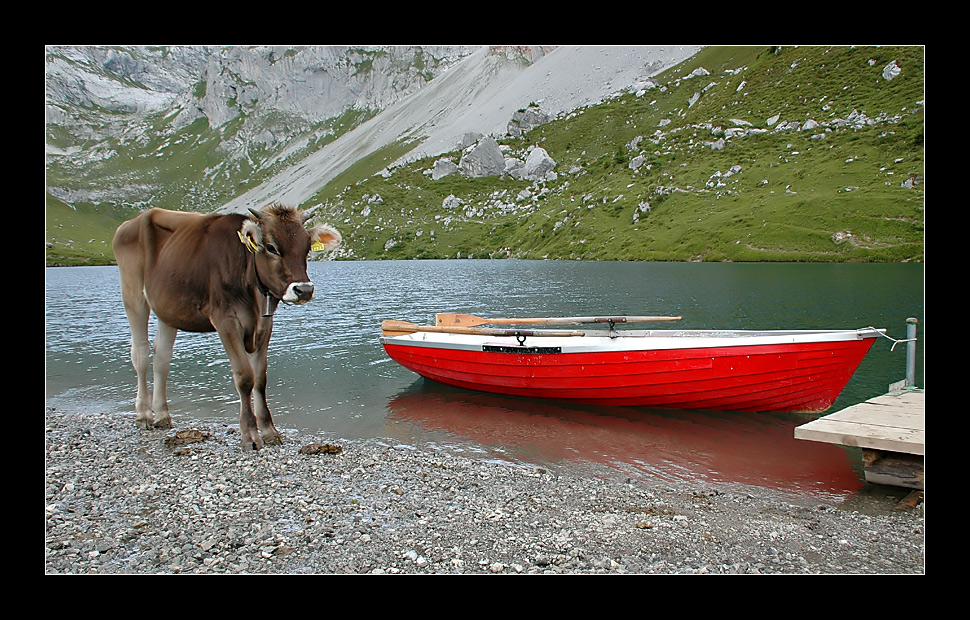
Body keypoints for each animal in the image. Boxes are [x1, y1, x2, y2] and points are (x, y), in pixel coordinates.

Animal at [112, 203, 340, 450]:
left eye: (307, 248)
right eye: (271, 247)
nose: (304, 290)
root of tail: (134, 220)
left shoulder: (265, 324)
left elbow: (260, 378)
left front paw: (269, 431)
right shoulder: (226, 320)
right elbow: (244, 377)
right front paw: (250, 435)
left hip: (168, 308)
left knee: (162, 357)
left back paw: (162, 415)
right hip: (133, 293)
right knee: (141, 354)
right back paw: (143, 415)